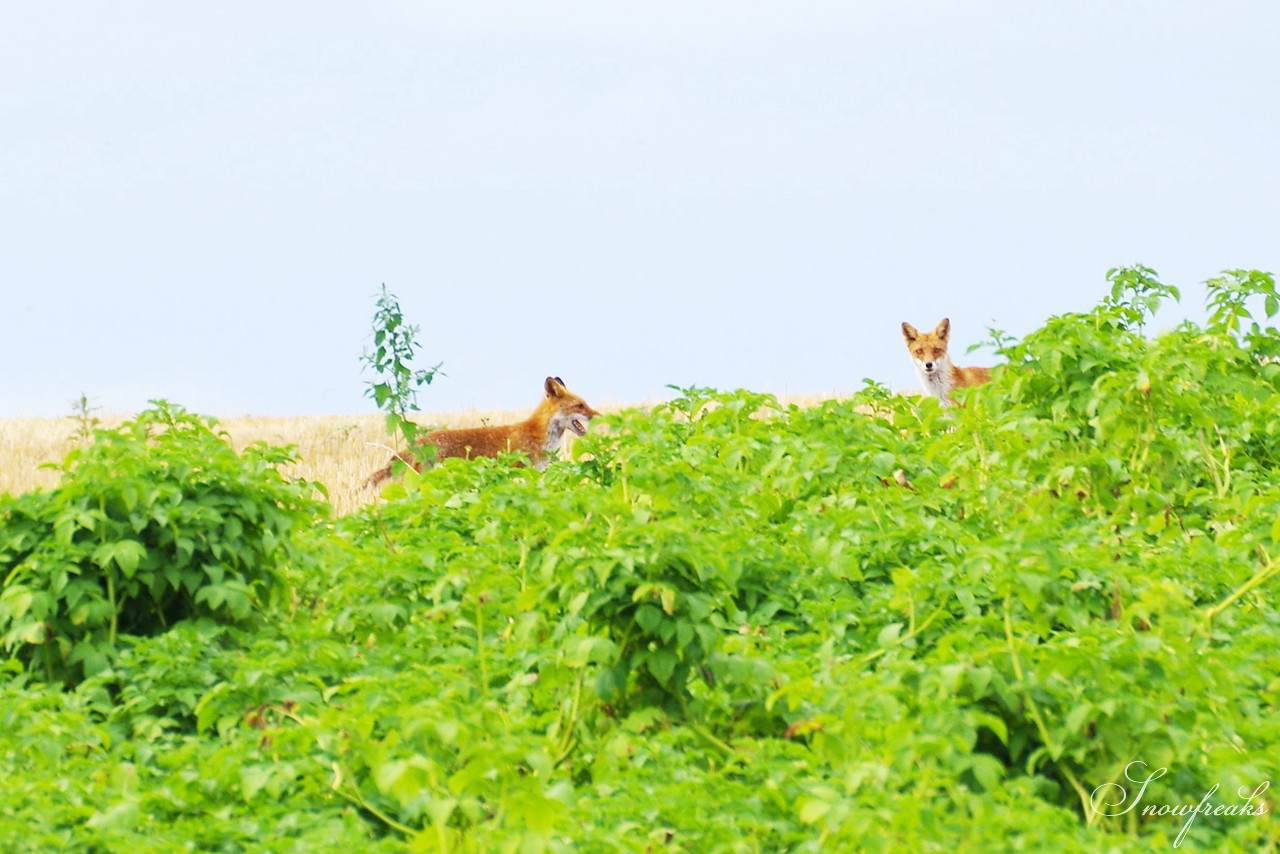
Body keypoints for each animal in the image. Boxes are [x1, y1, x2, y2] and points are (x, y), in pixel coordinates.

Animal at [363, 376, 596, 486]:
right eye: (580, 406)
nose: (598, 415)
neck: (538, 436)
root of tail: (418, 444)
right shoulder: (522, 470)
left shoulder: (538, 474)